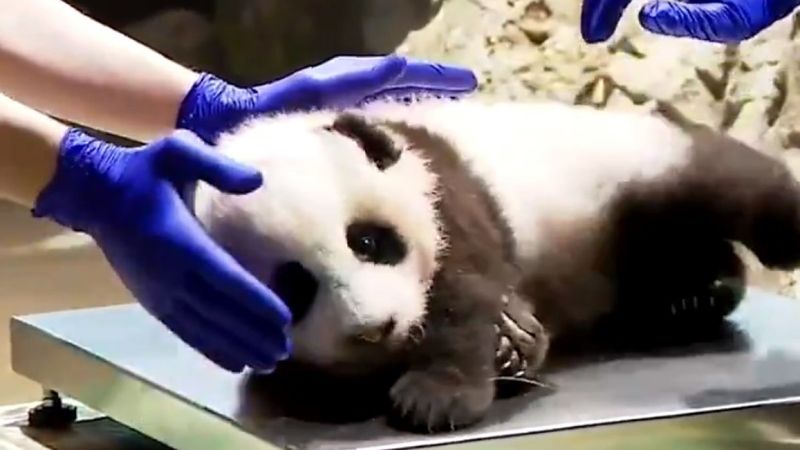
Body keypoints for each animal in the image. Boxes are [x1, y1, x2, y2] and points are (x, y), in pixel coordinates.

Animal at [191, 97, 800, 433]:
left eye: (367, 241)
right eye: (295, 289)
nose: (377, 328)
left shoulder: (444, 188)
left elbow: (464, 291)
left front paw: (438, 396)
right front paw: (514, 341)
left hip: (633, 159)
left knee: (731, 183)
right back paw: (694, 293)